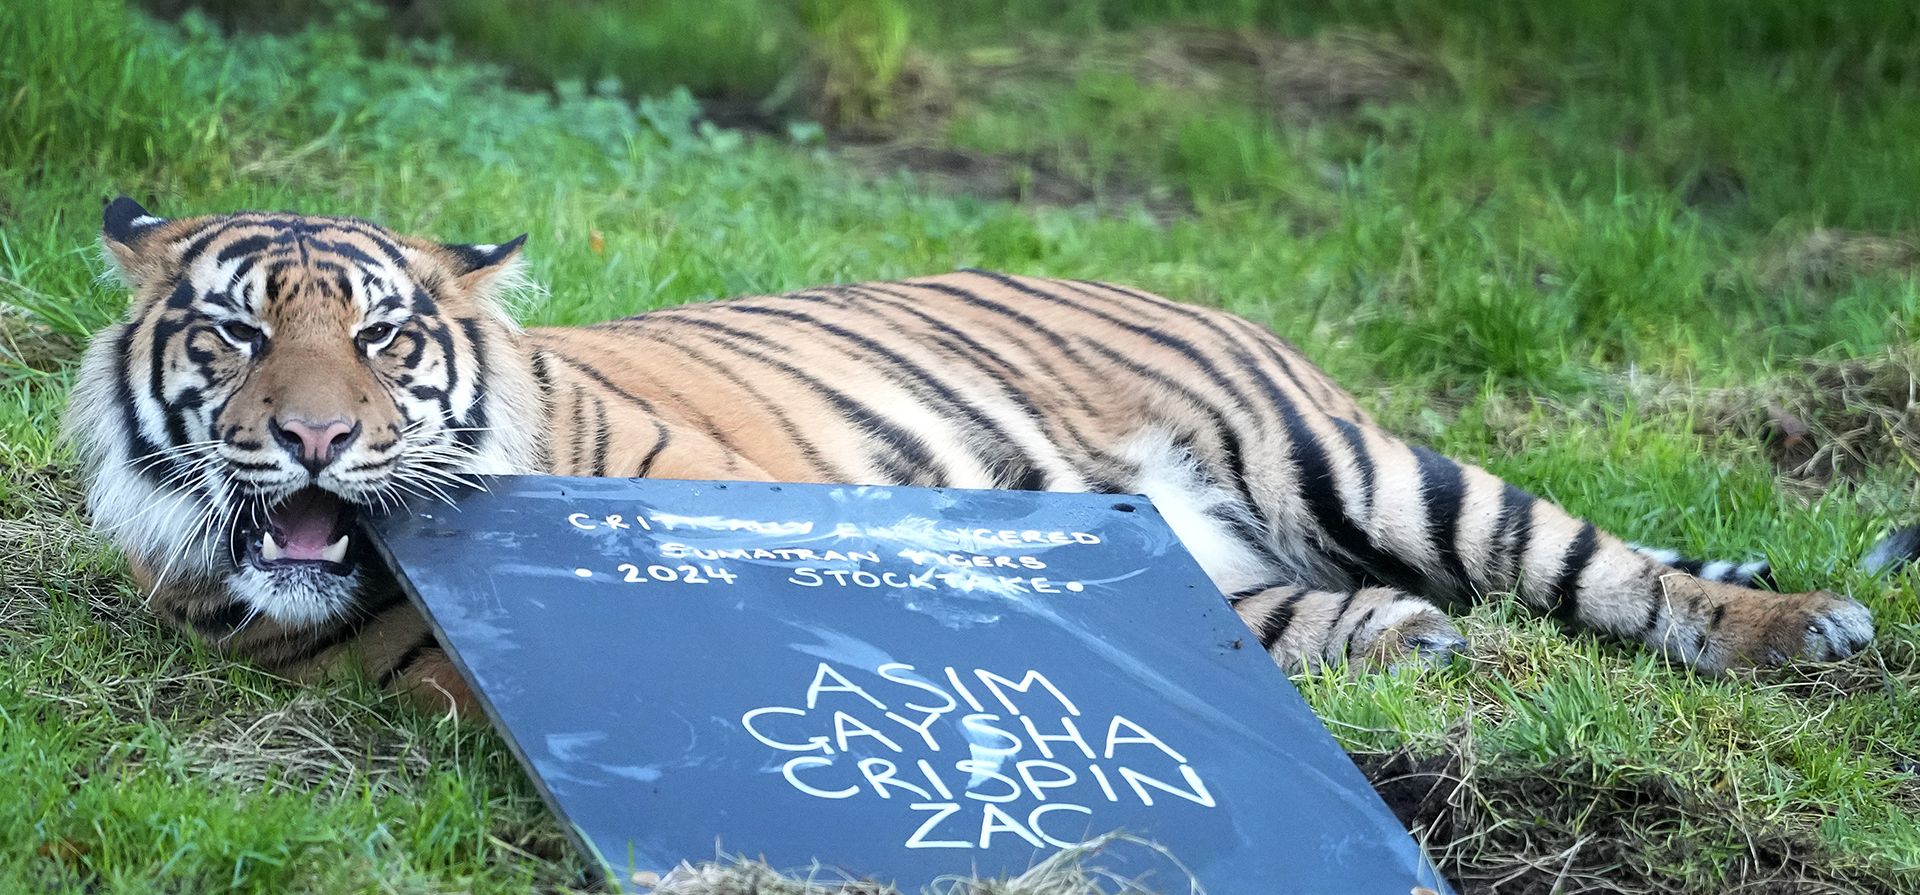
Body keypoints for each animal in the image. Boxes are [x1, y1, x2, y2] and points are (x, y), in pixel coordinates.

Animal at [67, 197, 1880, 713]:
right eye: (235, 336)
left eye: (381, 340)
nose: (313, 434)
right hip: (1229, 564)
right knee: (1288, 621)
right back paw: (1394, 638)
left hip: (1364, 465)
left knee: (1600, 568)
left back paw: (1806, 630)